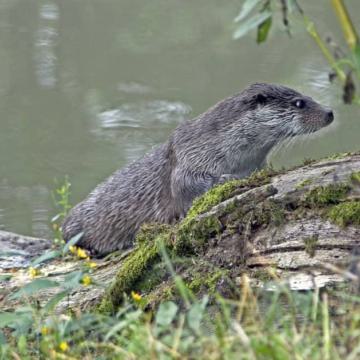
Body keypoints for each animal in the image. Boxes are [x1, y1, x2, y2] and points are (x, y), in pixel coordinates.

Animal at [62, 83, 334, 255]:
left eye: (308, 97)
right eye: (299, 103)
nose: (330, 112)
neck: (221, 144)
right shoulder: (187, 158)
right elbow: (187, 188)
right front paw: (227, 179)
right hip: (77, 219)